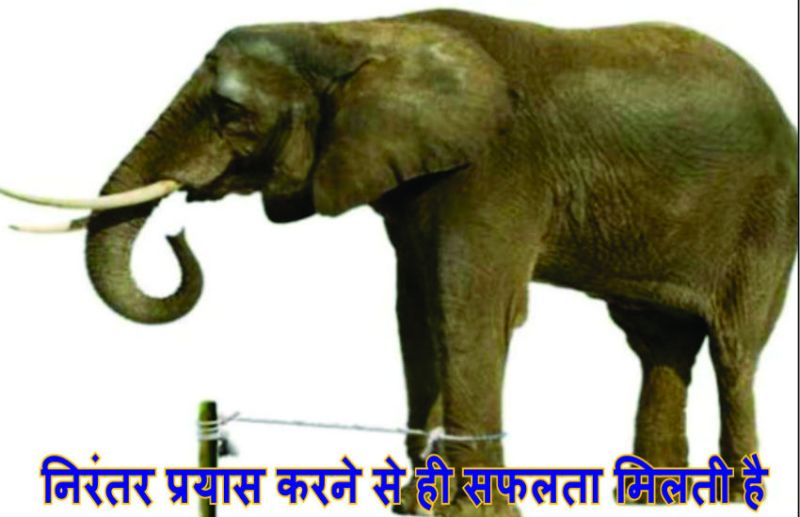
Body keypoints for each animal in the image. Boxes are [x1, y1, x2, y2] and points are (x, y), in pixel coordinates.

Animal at [1, 9, 796, 515]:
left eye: (231, 113)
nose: (177, 232)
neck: (355, 33)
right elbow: (416, 310)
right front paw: (416, 507)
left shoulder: (496, 165)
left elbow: (470, 307)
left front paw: (473, 515)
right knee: (657, 342)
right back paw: (655, 494)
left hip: (769, 215)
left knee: (733, 349)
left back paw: (734, 499)